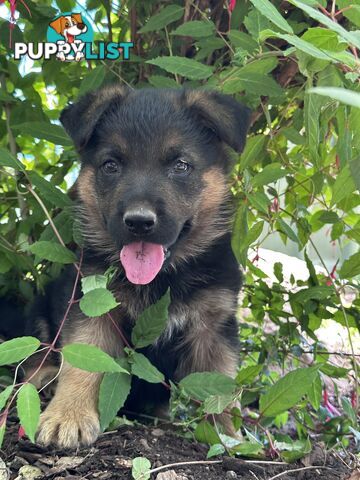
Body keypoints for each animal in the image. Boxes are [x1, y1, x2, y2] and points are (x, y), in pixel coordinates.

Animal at [31, 86, 250, 450]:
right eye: (111, 165)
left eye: (180, 165)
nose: (139, 222)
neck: (165, 278)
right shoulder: (93, 308)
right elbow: (82, 362)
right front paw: (69, 414)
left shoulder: (214, 326)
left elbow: (220, 384)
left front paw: (228, 436)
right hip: (44, 306)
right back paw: (46, 379)